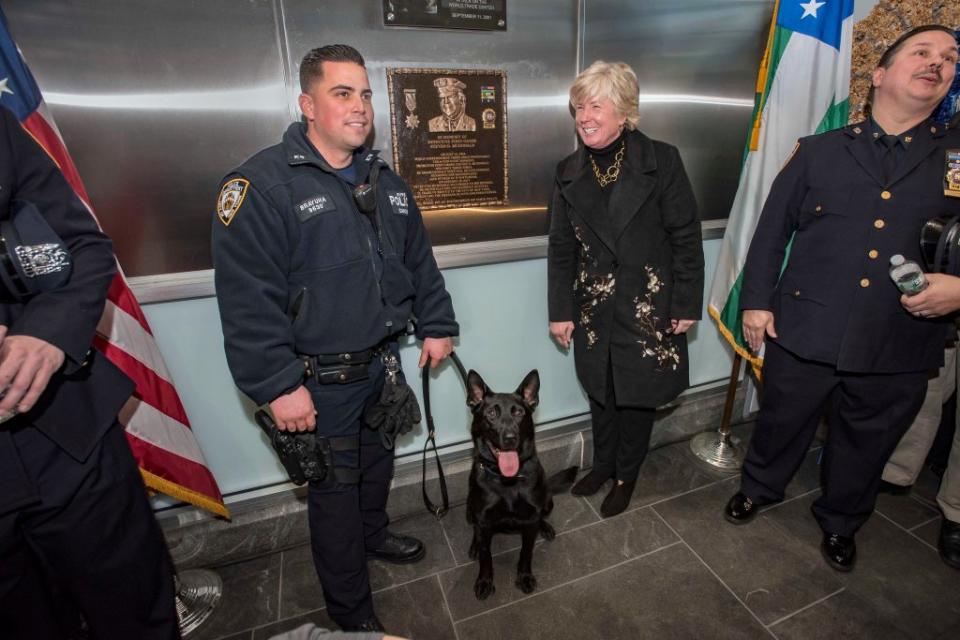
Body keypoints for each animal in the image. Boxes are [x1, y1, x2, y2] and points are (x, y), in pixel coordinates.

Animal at [466, 370, 576, 600]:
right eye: (491, 413)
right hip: (469, 507)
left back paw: (546, 527)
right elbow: (486, 556)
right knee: (475, 529)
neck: (507, 481)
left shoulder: (530, 521)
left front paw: (525, 576)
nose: (510, 438)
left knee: (542, 515)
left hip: (548, 501)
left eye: (518, 413)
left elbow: (526, 552)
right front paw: (485, 581)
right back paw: (474, 544)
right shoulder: (483, 519)